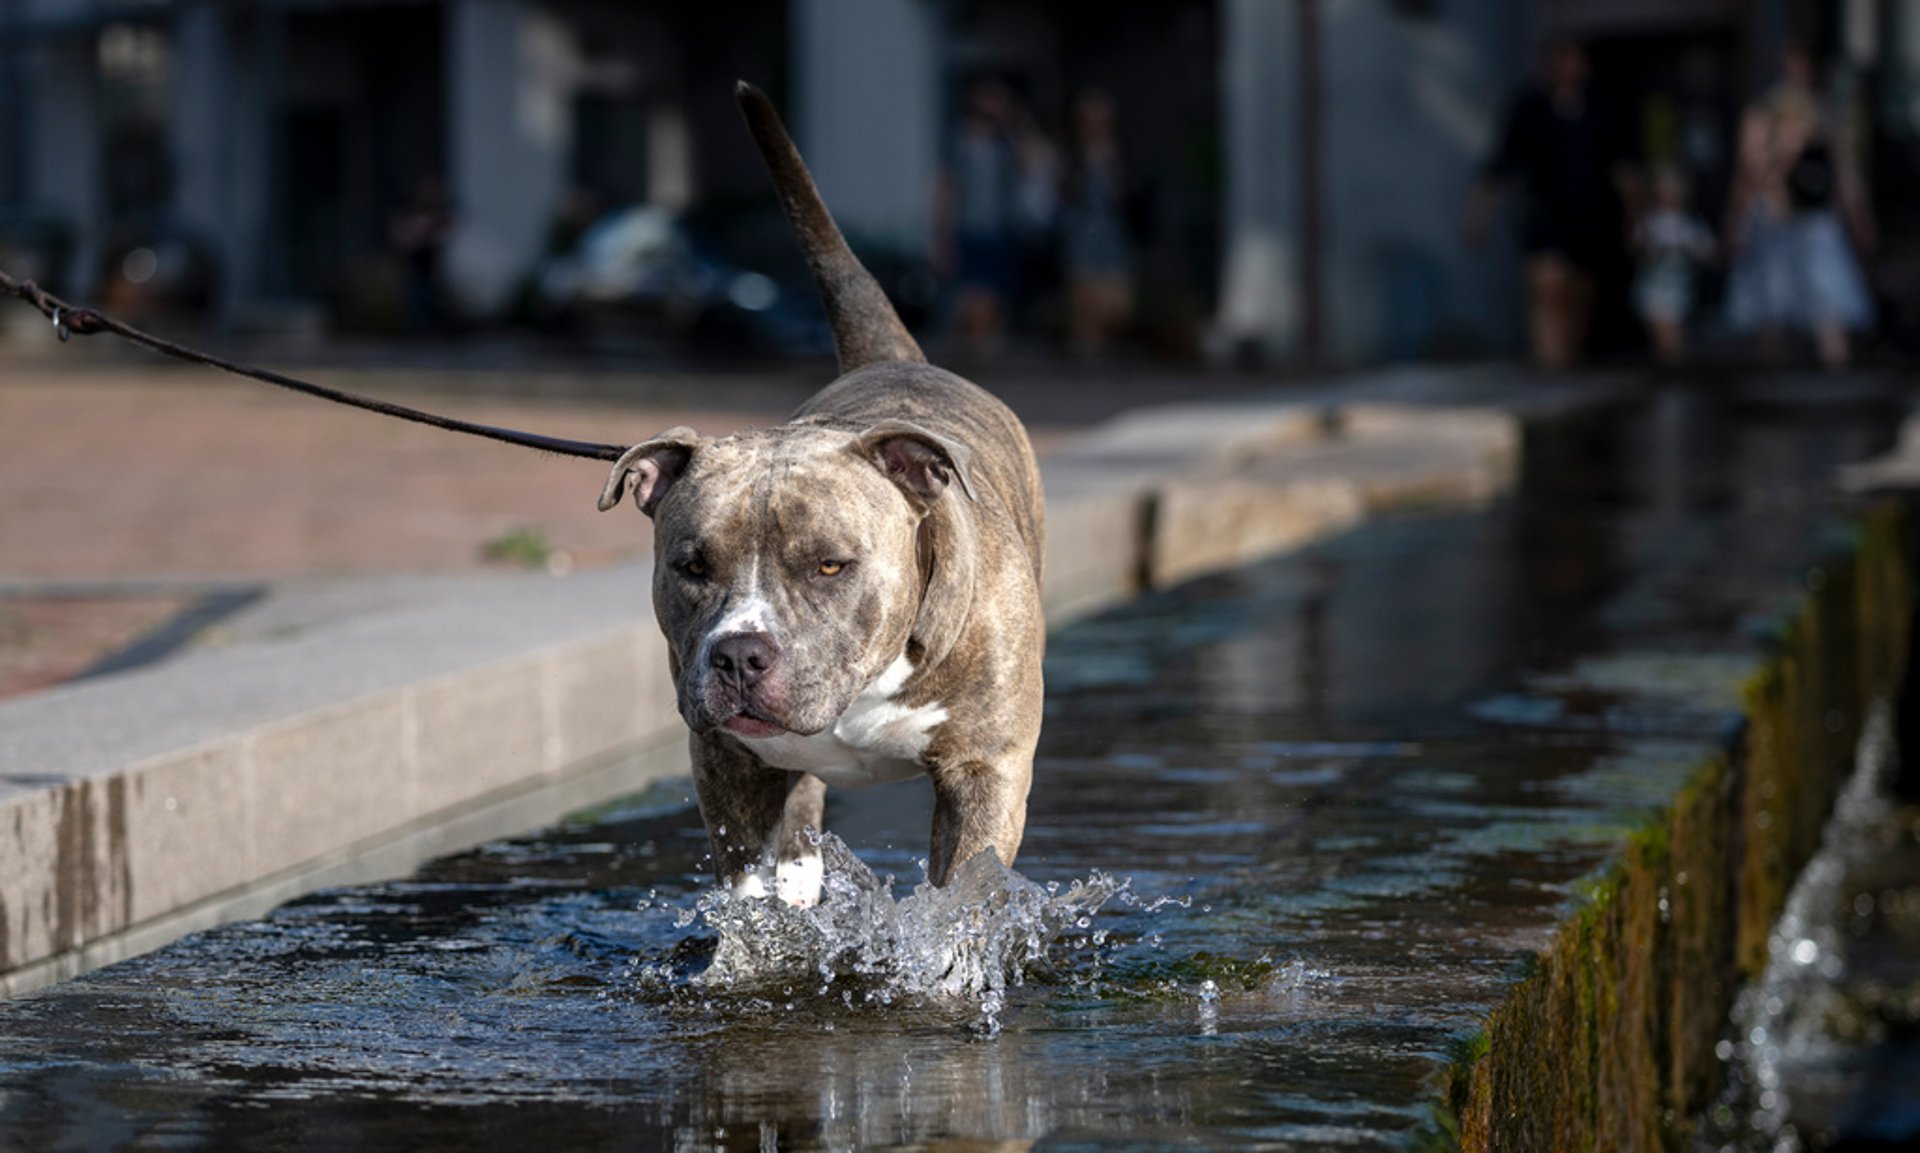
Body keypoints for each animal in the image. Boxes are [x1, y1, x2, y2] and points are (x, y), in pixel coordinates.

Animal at [599, 82, 1052, 909]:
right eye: (692, 567)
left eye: (831, 565)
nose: (739, 655)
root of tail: (894, 357)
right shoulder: (726, 760)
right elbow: (751, 900)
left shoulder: (985, 770)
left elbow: (961, 901)